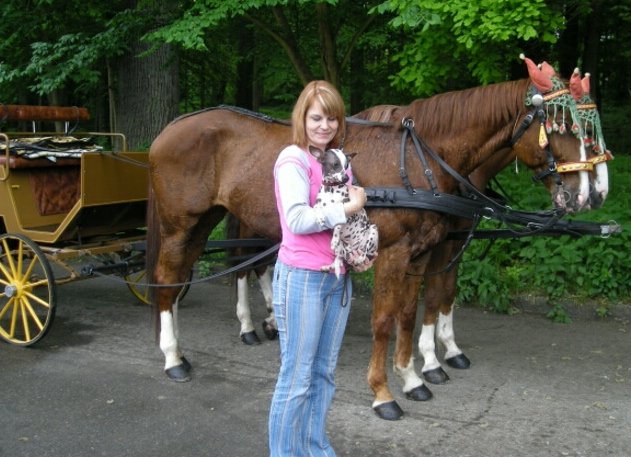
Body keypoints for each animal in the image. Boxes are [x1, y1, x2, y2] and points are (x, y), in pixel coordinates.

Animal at [310, 145, 378, 278]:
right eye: (335, 164)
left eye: (346, 166)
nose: (346, 178)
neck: (331, 188)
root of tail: (353, 249)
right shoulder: (318, 204)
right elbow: (316, 209)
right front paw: (319, 217)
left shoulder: (348, 213)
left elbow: (337, 225)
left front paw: (334, 238)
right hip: (341, 249)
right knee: (340, 260)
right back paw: (329, 266)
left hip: (373, 231)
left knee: (366, 254)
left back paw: (359, 258)